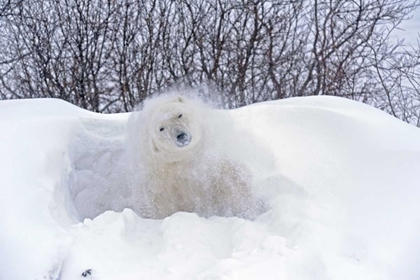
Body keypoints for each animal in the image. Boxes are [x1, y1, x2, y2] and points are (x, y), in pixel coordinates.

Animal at [126, 94, 258, 219]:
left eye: (179, 115)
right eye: (161, 128)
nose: (180, 136)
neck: (183, 157)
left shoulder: (211, 154)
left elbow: (231, 178)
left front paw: (243, 211)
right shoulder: (156, 170)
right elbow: (153, 197)